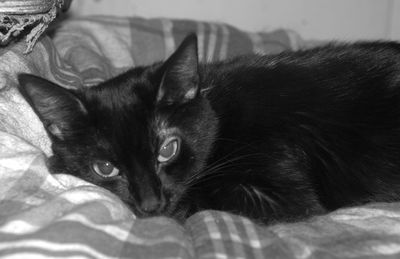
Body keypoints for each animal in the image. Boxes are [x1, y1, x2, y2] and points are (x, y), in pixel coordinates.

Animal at [18, 34, 400, 225]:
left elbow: (205, 197)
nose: (152, 204)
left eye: (168, 149)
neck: (221, 111)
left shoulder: (284, 195)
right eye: (105, 168)